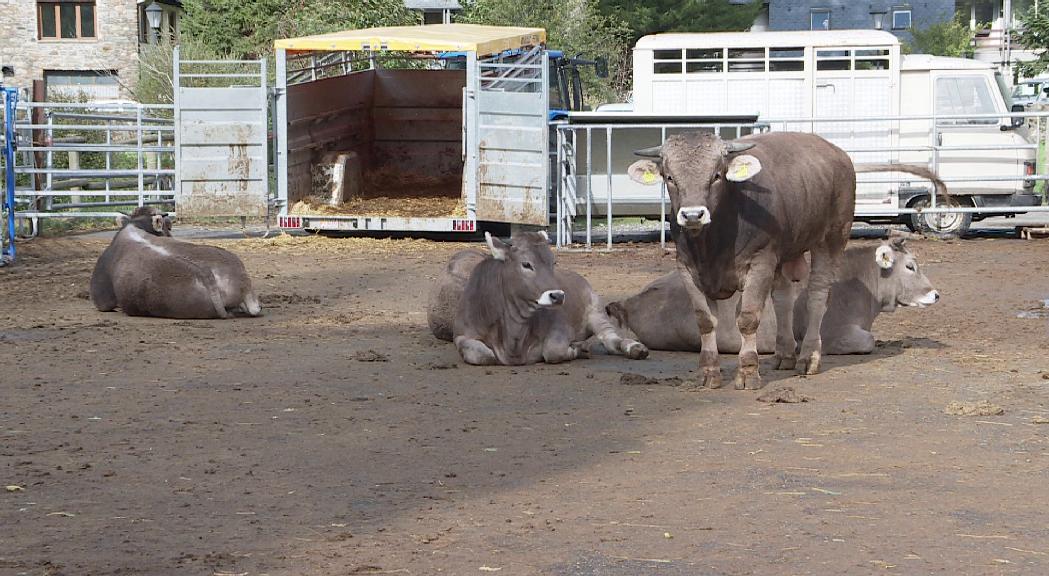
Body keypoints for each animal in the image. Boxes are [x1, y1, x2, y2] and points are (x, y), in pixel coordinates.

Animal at [425, 228, 646, 363]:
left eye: (553, 261)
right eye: (526, 264)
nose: (558, 295)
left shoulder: (560, 327)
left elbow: (553, 351)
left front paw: (578, 348)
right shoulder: (462, 335)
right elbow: (482, 355)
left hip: (596, 311)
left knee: (611, 340)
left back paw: (635, 348)